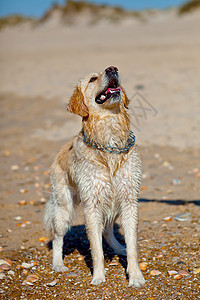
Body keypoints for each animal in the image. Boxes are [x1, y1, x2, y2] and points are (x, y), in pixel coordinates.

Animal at [44, 67, 145, 288]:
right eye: (92, 79)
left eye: (112, 70)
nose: (112, 69)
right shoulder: (92, 205)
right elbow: (96, 249)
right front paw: (98, 277)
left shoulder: (129, 200)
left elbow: (133, 245)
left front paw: (135, 276)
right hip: (63, 207)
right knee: (57, 237)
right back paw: (58, 264)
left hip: (113, 205)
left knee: (107, 231)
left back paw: (120, 248)